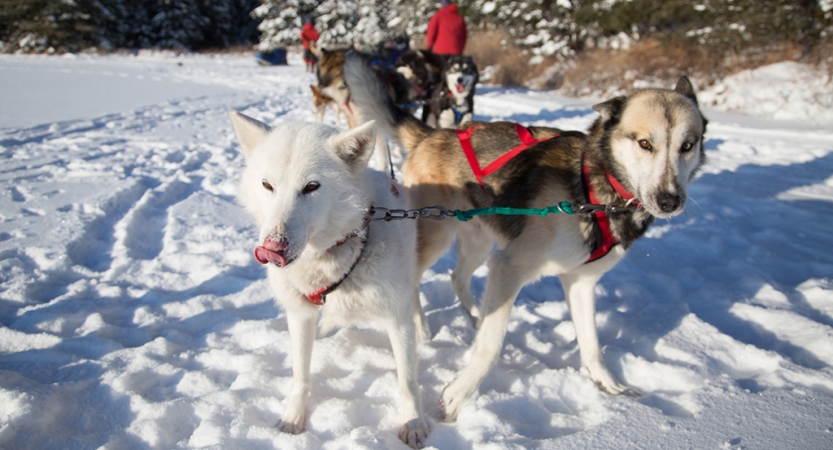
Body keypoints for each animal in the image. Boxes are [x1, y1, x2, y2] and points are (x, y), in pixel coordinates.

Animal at [231, 111, 432, 446]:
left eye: (312, 186)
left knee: (414, 294)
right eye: (267, 185)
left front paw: (414, 421)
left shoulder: (396, 318)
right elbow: (301, 375)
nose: (272, 248)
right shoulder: (300, 315)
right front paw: (293, 417)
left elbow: (407, 380)